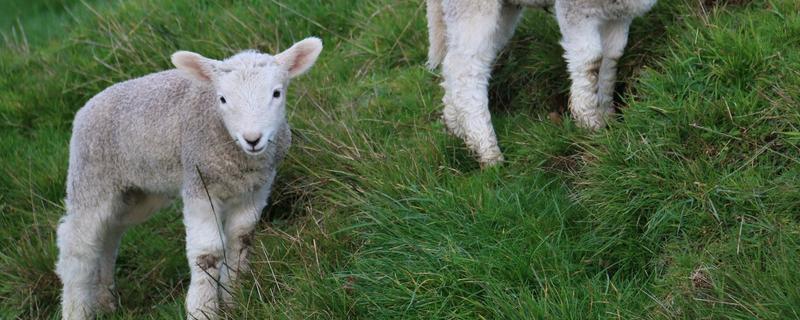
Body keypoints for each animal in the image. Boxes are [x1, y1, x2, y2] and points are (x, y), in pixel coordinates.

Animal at [54, 36, 324, 318]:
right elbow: (208, 253)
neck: (239, 159)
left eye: (276, 93)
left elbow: (241, 239)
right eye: (222, 99)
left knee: (109, 233)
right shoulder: (199, 184)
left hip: (136, 192)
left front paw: (235, 299)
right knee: (77, 245)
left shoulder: (256, 188)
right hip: (92, 177)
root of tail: (86, 107)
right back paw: (76, 308)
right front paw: (202, 309)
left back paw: (105, 299)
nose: (253, 139)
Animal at [428, 0, 660, 165]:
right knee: (464, 67)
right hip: (472, 5)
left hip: (505, 9)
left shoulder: (619, 14)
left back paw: (456, 127)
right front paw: (590, 124)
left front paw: (607, 118)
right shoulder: (575, 9)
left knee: (455, 63)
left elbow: (610, 59)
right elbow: (590, 61)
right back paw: (488, 152)